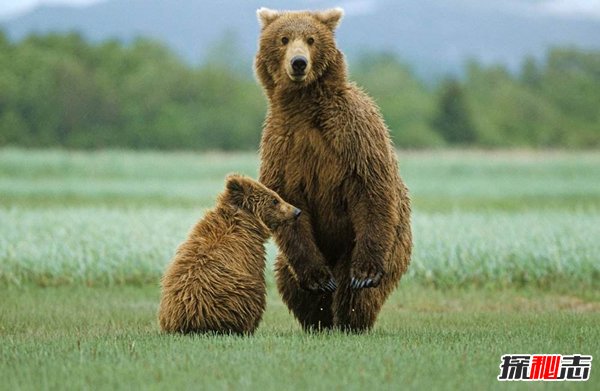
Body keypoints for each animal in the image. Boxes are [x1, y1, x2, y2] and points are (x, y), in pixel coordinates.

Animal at [158, 176, 300, 336]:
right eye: (275, 200)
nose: (297, 211)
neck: (247, 222)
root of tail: (190, 319)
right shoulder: (249, 255)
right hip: (229, 298)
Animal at [253, 8, 412, 334]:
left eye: (311, 39)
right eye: (284, 38)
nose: (298, 63)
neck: (304, 106)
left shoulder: (353, 133)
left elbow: (370, 187)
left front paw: (364, 273)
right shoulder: (282, 145)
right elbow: (286, 201)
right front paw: (318, 280)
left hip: (387, 243)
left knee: (356, 290)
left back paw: (350, 319)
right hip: (303, 255)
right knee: (289, 281)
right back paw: (319, 318)